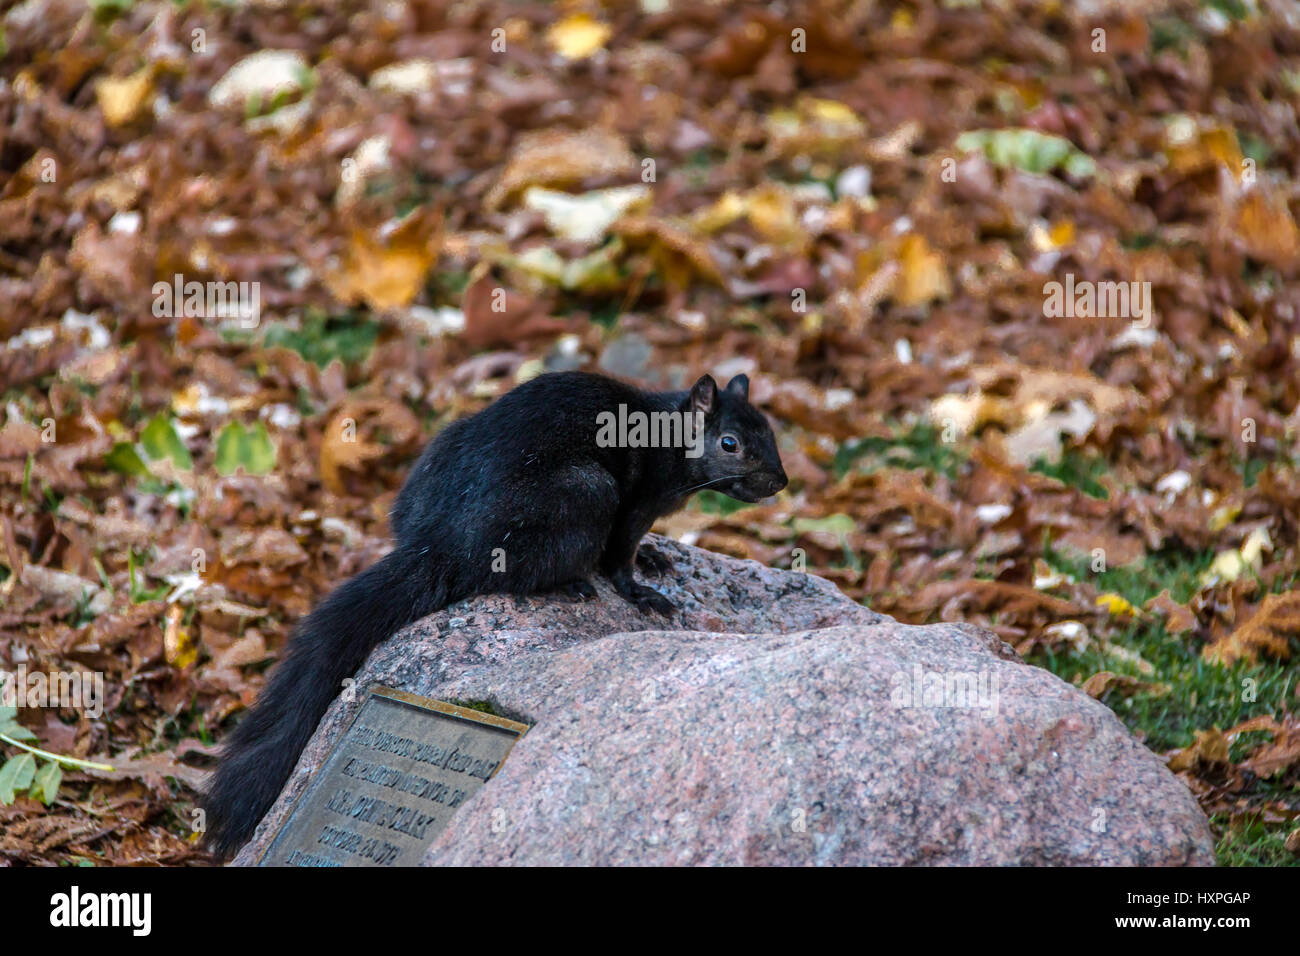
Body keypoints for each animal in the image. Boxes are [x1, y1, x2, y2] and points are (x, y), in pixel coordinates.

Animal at [205, 369, 780, 858]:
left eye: (770, 431)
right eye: (730, 443)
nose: (780, 482)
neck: (666, 433)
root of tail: (439, 542)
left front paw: (657, 557)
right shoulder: (637, 504)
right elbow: (619, 558)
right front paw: (641, 591)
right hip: (583, 494)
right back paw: (569, 585)